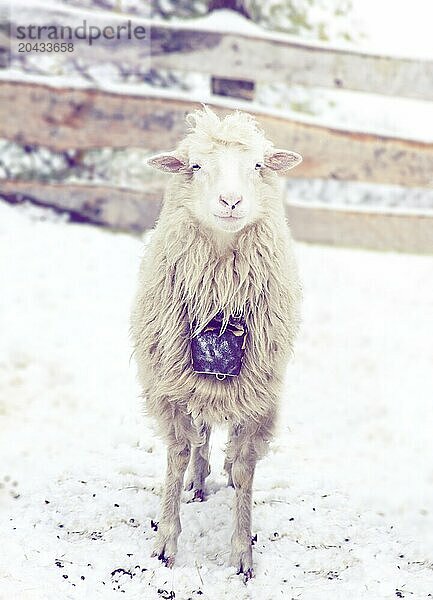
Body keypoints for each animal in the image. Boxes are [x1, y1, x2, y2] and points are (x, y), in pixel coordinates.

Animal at [130, 105, 302, 580]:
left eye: (258, 166)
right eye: (195, 166)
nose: (230, 202)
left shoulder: (260, 396)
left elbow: (245, 469)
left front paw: (242, 554)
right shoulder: (170, 387)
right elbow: (177, 454)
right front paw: (165, 544)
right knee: (201, 433)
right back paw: (200, 477)